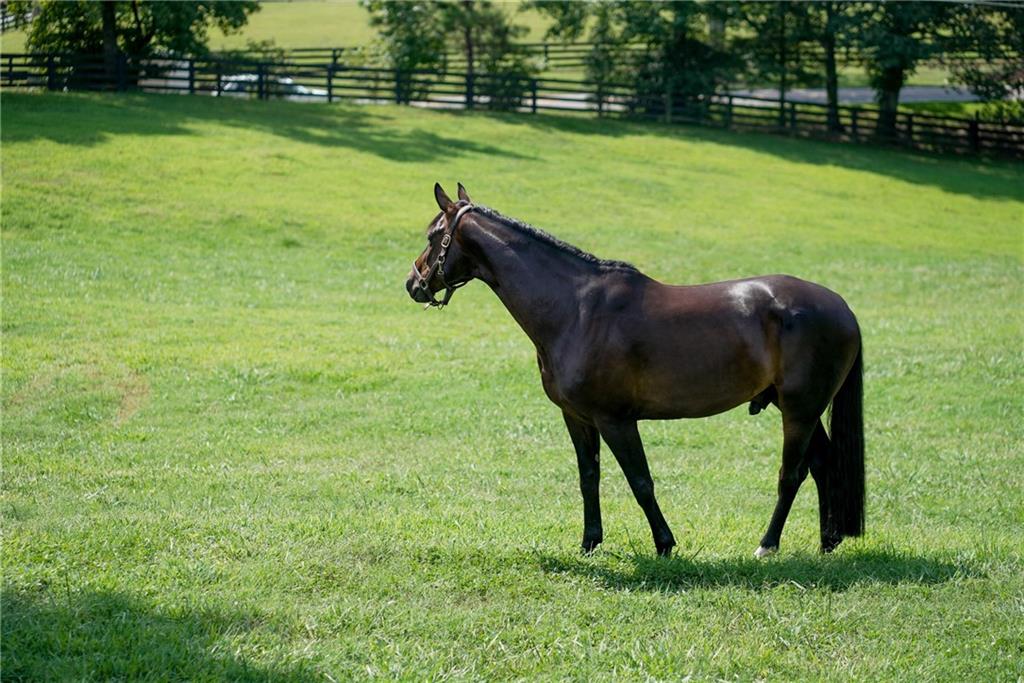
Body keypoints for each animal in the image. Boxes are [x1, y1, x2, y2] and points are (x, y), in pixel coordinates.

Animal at [403, 184, 860, 557]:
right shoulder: (578, 417)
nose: (413, 284)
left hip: (799, 411)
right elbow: (589, 477)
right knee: (822, 465)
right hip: (800, 409)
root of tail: (841, 307)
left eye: (432, 236)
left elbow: (640, 481)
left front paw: (664, 544)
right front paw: (589, 543)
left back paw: (767, 545)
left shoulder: (616, 420)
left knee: (792, 474)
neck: (576, 310)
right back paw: (826, 543)